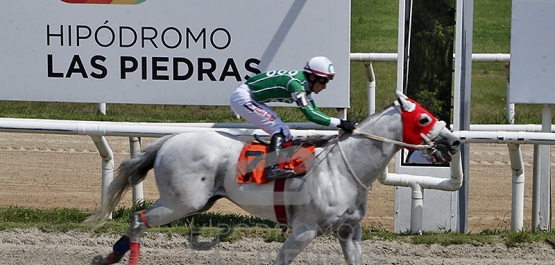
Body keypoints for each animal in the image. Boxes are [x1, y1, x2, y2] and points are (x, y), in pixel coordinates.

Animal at [87, 91, 460, 264]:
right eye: (424, 119)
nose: (454, 141)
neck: (343, 167)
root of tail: (169, 140)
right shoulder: (305, 229)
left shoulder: (349, 229)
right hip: (182, 202)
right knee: (139, 219)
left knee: (138, 221)